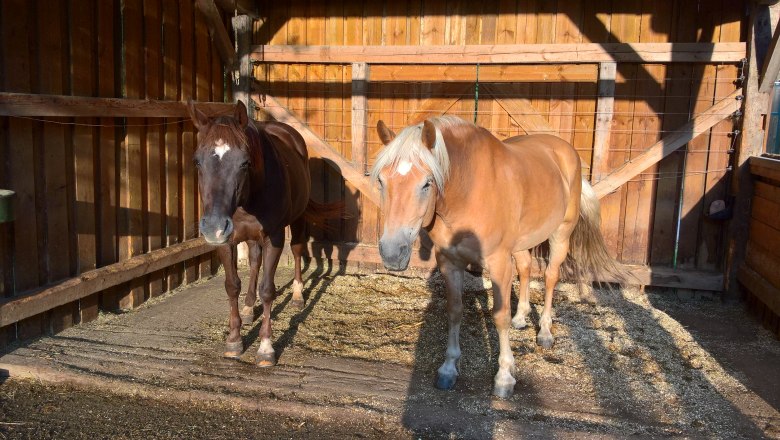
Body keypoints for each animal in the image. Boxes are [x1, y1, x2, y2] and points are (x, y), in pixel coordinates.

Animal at [190, 101, 342, 366]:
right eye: (197, 161)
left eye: (244, 162)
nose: (214, 227)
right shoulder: (226, 242)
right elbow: (232, 285)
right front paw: (234, 340)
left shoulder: (274, 238)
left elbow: (268, 290)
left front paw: (266, 347)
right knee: (254, 262)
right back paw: (249, 308)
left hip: (297, 220)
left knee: (297, 250)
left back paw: (297, 296)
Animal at [374, 115, 628, 398]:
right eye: (382, 181)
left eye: (427, 183)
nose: (392, 252)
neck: (468, 191)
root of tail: (566, 151)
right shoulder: (449, 262)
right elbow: (454, 310)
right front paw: (449, 368)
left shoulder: (498, 265)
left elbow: (499, 316)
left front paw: (505, 376)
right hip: (520, 243)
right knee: (526, 268)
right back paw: (521, 318)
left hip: (560, 235)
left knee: (551, 277)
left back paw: (545, 331)